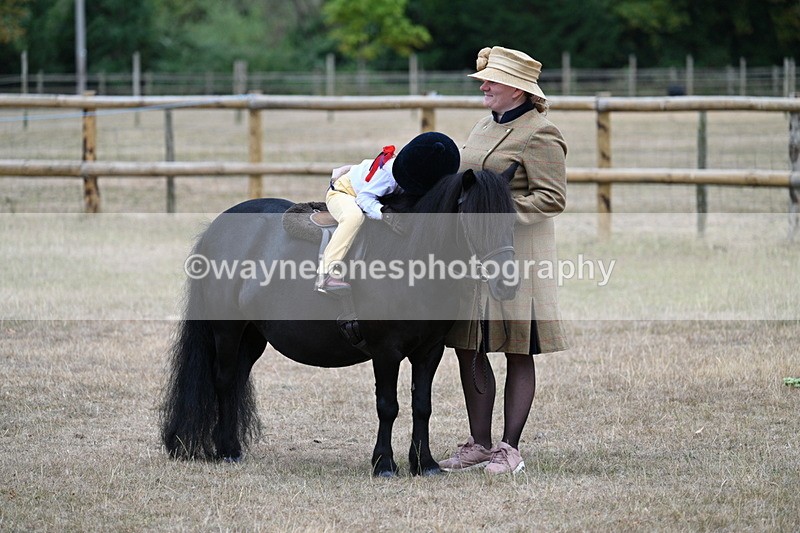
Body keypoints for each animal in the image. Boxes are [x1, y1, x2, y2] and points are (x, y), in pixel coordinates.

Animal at [159, 165, 519, 477]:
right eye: (477, 218)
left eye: (512, 217)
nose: (508, 283)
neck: (409, 256)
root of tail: (217, 227)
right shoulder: (386, 352)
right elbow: (388, 405)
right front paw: (384, 464)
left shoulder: (429, 351)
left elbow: (422, 405)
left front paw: (424, 464)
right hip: (227, 330)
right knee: (223, 380)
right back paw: (228, 450)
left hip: (252, 337)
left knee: (235, 379)